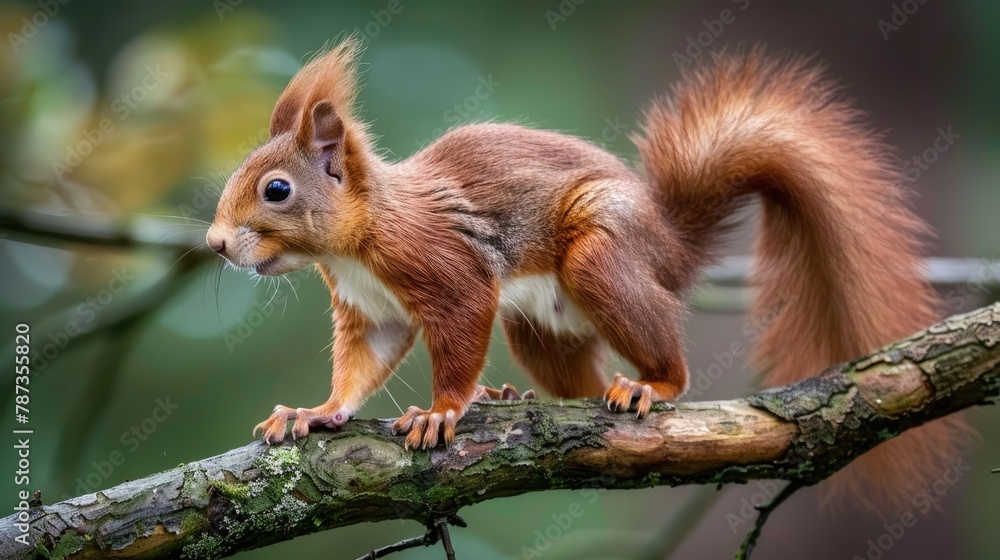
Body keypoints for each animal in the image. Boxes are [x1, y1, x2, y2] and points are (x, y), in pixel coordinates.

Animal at [206, 38, 967, 511]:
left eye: (277, 190)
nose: (214, 244)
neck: (357, 240)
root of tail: (670, 249)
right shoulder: (372, 312)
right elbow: (361, 368)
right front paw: (315, 412)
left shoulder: (446, 269)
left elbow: (460, 326)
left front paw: (442, 411)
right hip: (540, 326)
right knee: (577, 384)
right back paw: (512, 394)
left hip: (601, 258)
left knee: (659, 360)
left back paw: (650, 384)